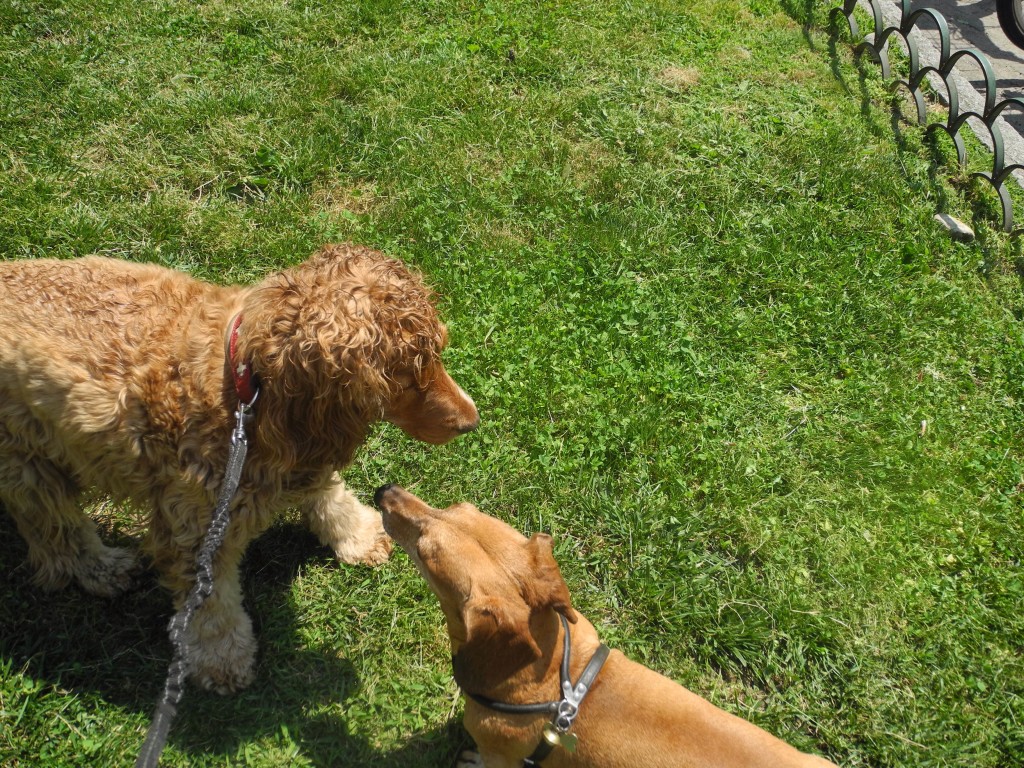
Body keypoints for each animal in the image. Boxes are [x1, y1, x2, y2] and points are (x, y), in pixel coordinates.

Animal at [0, 244, 479, 692]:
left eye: (439, 352)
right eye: (405, 379)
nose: (471, 420)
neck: (248, 383)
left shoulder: (301, 450)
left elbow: (327, 491)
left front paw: (358, 534)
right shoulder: (196, 526)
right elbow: (210, 607)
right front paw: (222, 659)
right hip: (29, 463)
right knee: (58, 534)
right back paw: (103, 568)